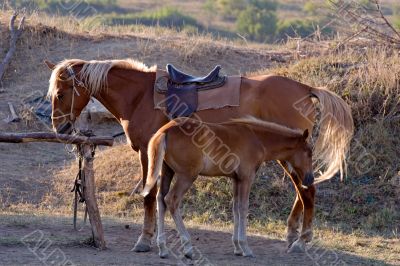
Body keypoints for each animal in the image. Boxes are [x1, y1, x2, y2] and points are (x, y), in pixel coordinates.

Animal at [142, 116, 314, 258]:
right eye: (309, 152)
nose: (310, 179)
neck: (257, 138)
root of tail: (165, 130)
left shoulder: (236, 179)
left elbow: (236, 208)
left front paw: (237, 247)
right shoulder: (246, 178)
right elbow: (243, 208)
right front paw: (246, 248)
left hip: (167, 171)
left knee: (161, 200)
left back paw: (163, 249)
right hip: (187, 176)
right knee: (171, 200)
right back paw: (188, 248)